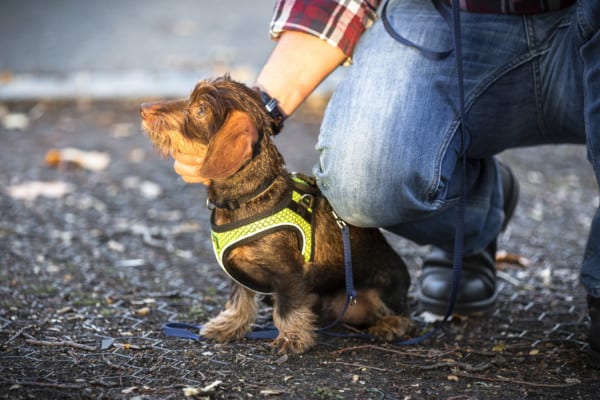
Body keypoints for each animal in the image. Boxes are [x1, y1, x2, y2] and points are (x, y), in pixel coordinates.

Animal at [141, 76, 414, 354]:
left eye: (200, 111)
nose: (144, 109)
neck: (247, 196)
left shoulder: (287, 273)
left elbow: (287, 308)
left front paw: (292, 339)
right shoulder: (239, 275)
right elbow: (240, 301)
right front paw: (227, 327)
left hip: (376, 294)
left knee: (404, 315)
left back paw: (389, 326)